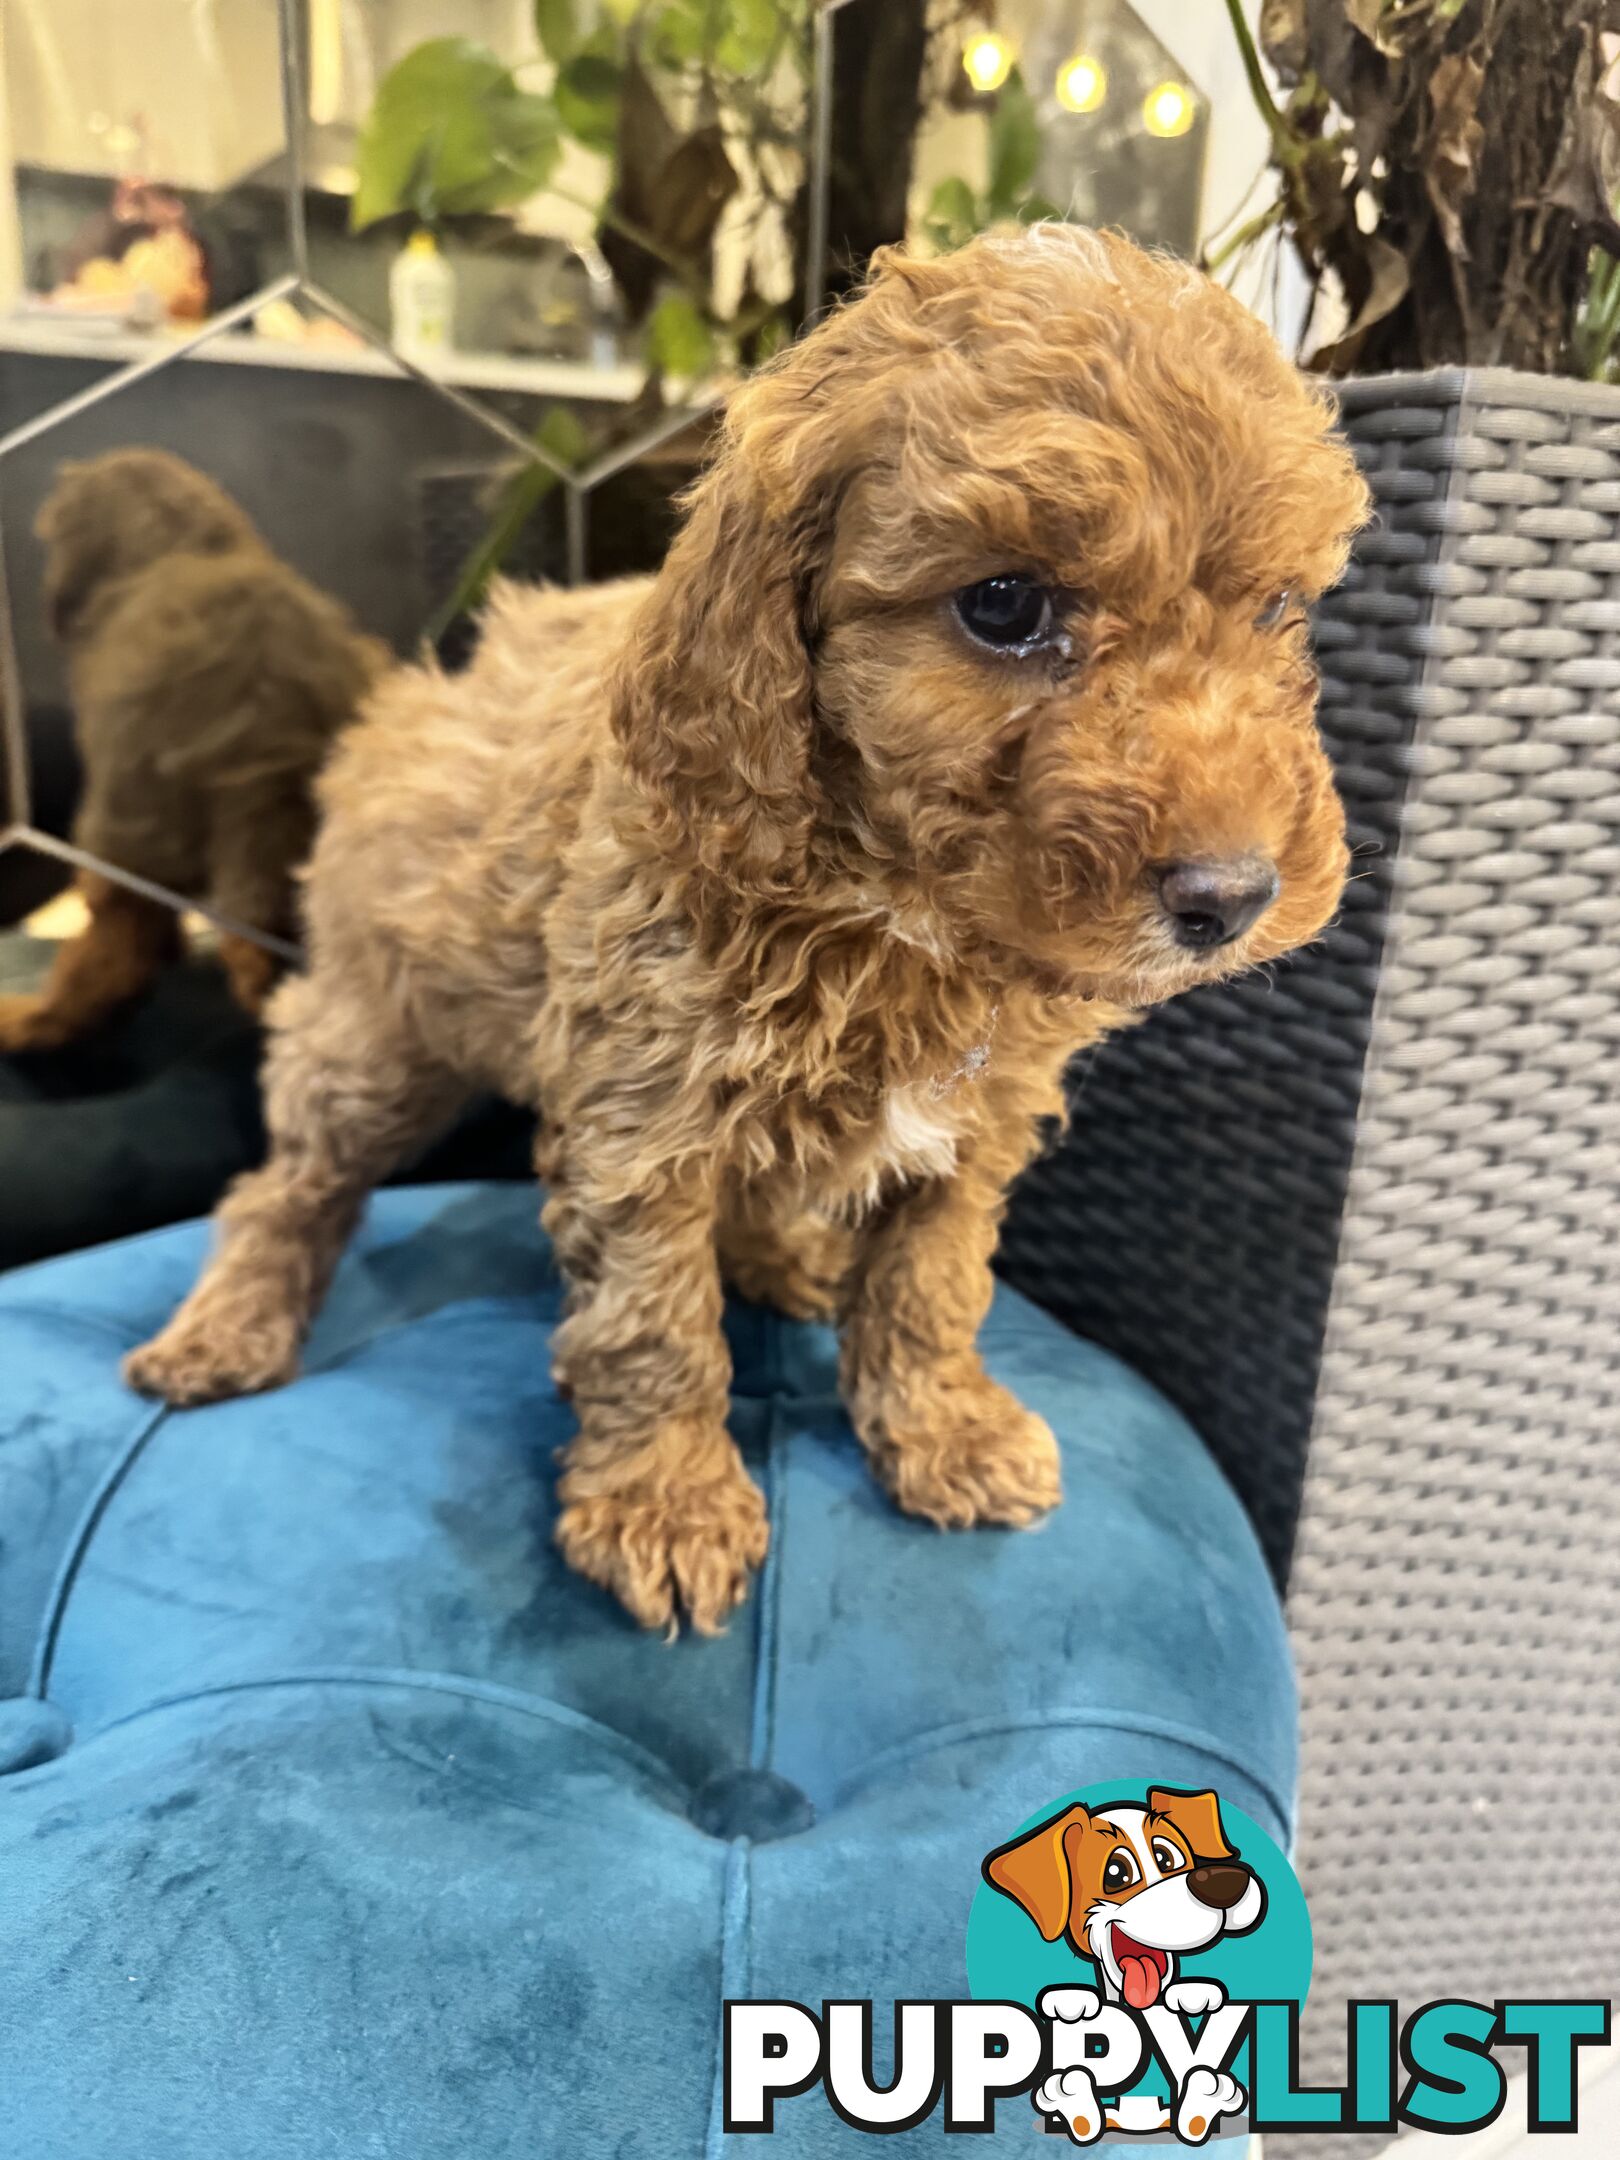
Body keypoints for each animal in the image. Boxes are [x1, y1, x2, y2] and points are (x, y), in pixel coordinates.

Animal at [123, 223, 1373, 1632]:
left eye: (1277, 612)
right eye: (1003, 605)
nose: (1233, 896)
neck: (897, 912)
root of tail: (416, 694)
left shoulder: (976, 1125)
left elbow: (933, 1283)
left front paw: (942, 1429)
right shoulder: (641, 1125)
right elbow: (656, 1327)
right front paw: (667, 1504)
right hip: (376, 1035)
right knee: (289, 1184)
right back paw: (227, 1329)